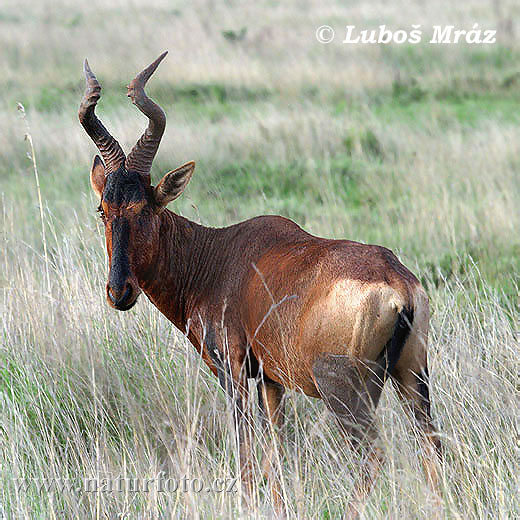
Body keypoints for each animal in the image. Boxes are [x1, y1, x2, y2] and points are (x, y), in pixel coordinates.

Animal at [79, 51, 440, 516]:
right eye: (103, 210)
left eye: (147, 207)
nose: (119, 293)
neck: (217, 256)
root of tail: (397, 286)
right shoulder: (271, 379)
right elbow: (274, 451)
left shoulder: (231, 370)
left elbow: (246, 450)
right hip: (412, 375)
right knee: (433, 450)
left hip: (347, 391)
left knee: (373, 457)